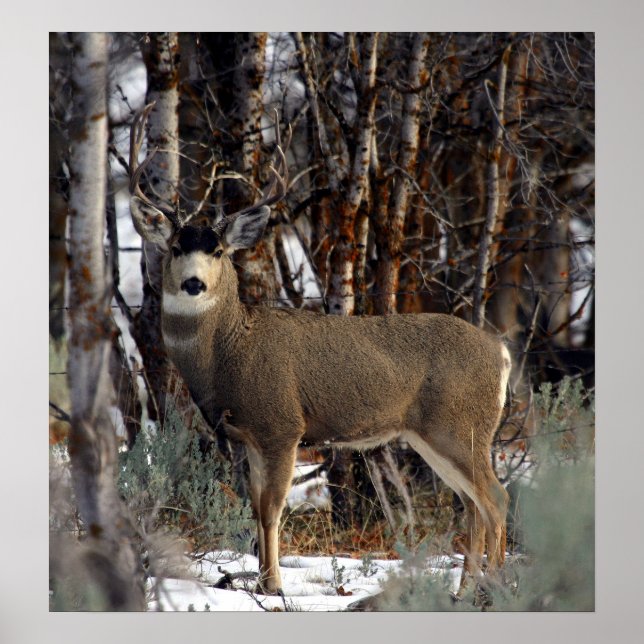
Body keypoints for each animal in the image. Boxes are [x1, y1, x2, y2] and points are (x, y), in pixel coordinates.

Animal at [128, 104, 512, 597]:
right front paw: (264, 581)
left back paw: (495, 590)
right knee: (471, 502)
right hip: (431, 432)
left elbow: (273, 507)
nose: (193, 283)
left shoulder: (282, 424)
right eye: (177, 246)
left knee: (495, 498)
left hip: (460, 424)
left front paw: (273, 586)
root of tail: (501, 353)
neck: (227, 353)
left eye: (217, 250)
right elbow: (256, 506)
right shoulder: (250, 435)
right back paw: (463, 591)